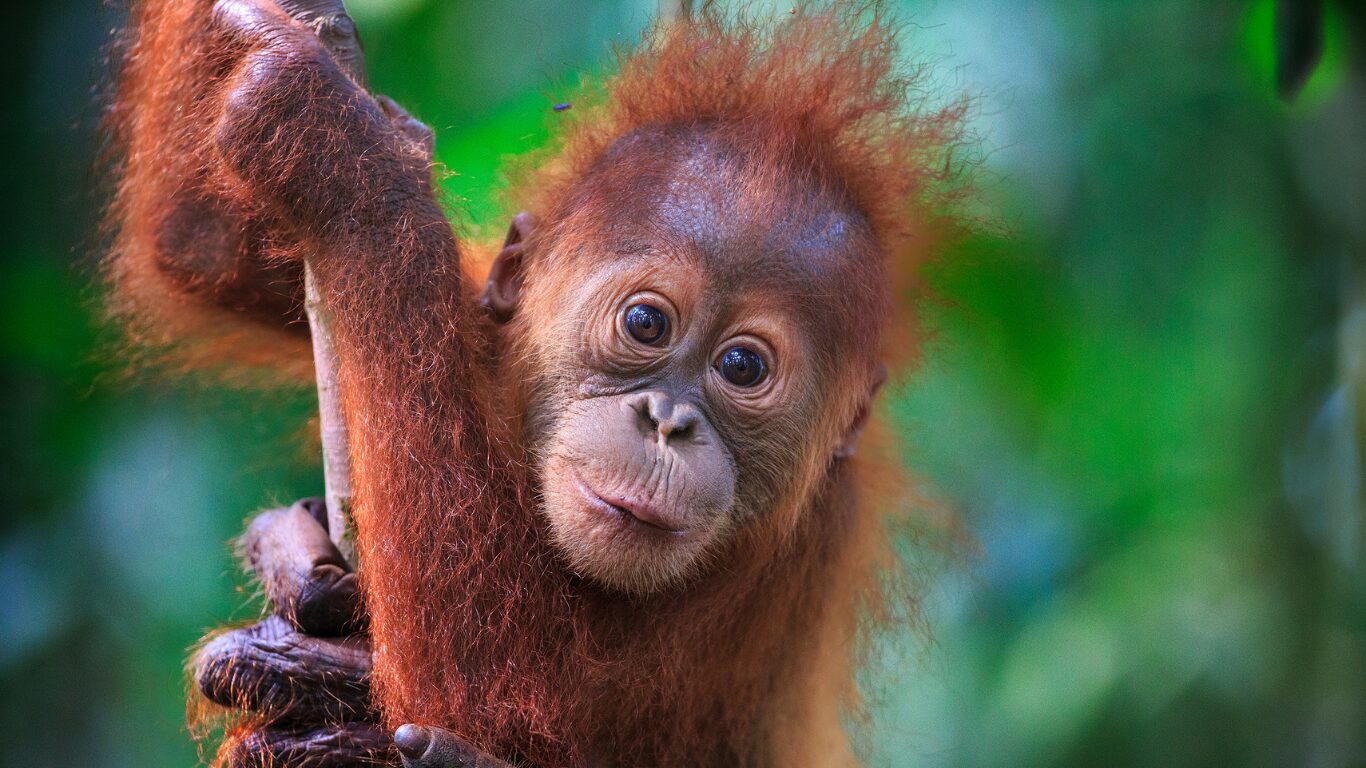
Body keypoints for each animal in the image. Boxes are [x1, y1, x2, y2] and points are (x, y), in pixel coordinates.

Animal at [103, 0, 963, 765]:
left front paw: (341, 154)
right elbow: (204, 247)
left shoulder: (790, 561)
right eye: (645, 324)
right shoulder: (482, 311)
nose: (667, 421)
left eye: (742, 368)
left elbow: (494, 691)